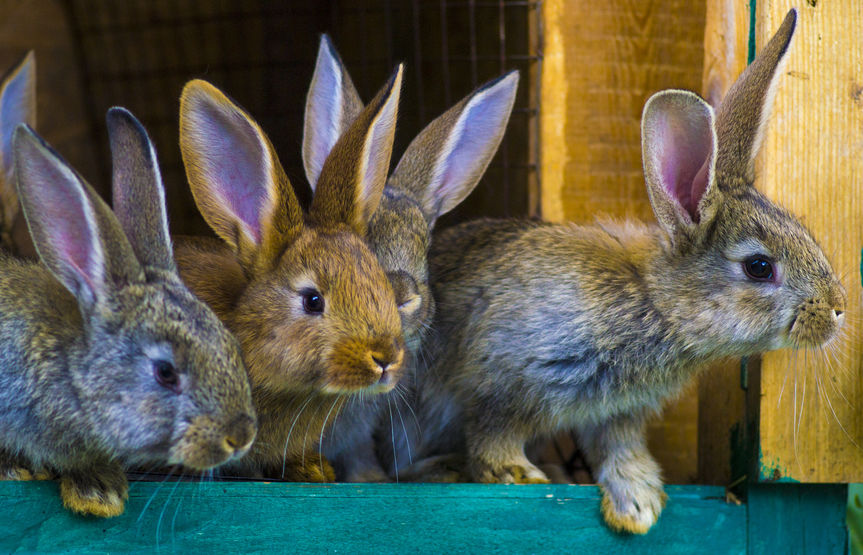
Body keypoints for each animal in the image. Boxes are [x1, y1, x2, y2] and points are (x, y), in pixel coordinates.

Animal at [416, 8, 848, 536]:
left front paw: (638, 502)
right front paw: (515, 474)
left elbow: (618, 446)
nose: (837, 311)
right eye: (759, 267)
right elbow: (491, 428)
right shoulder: (502, 376)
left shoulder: (616, 412)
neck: (655, 303)